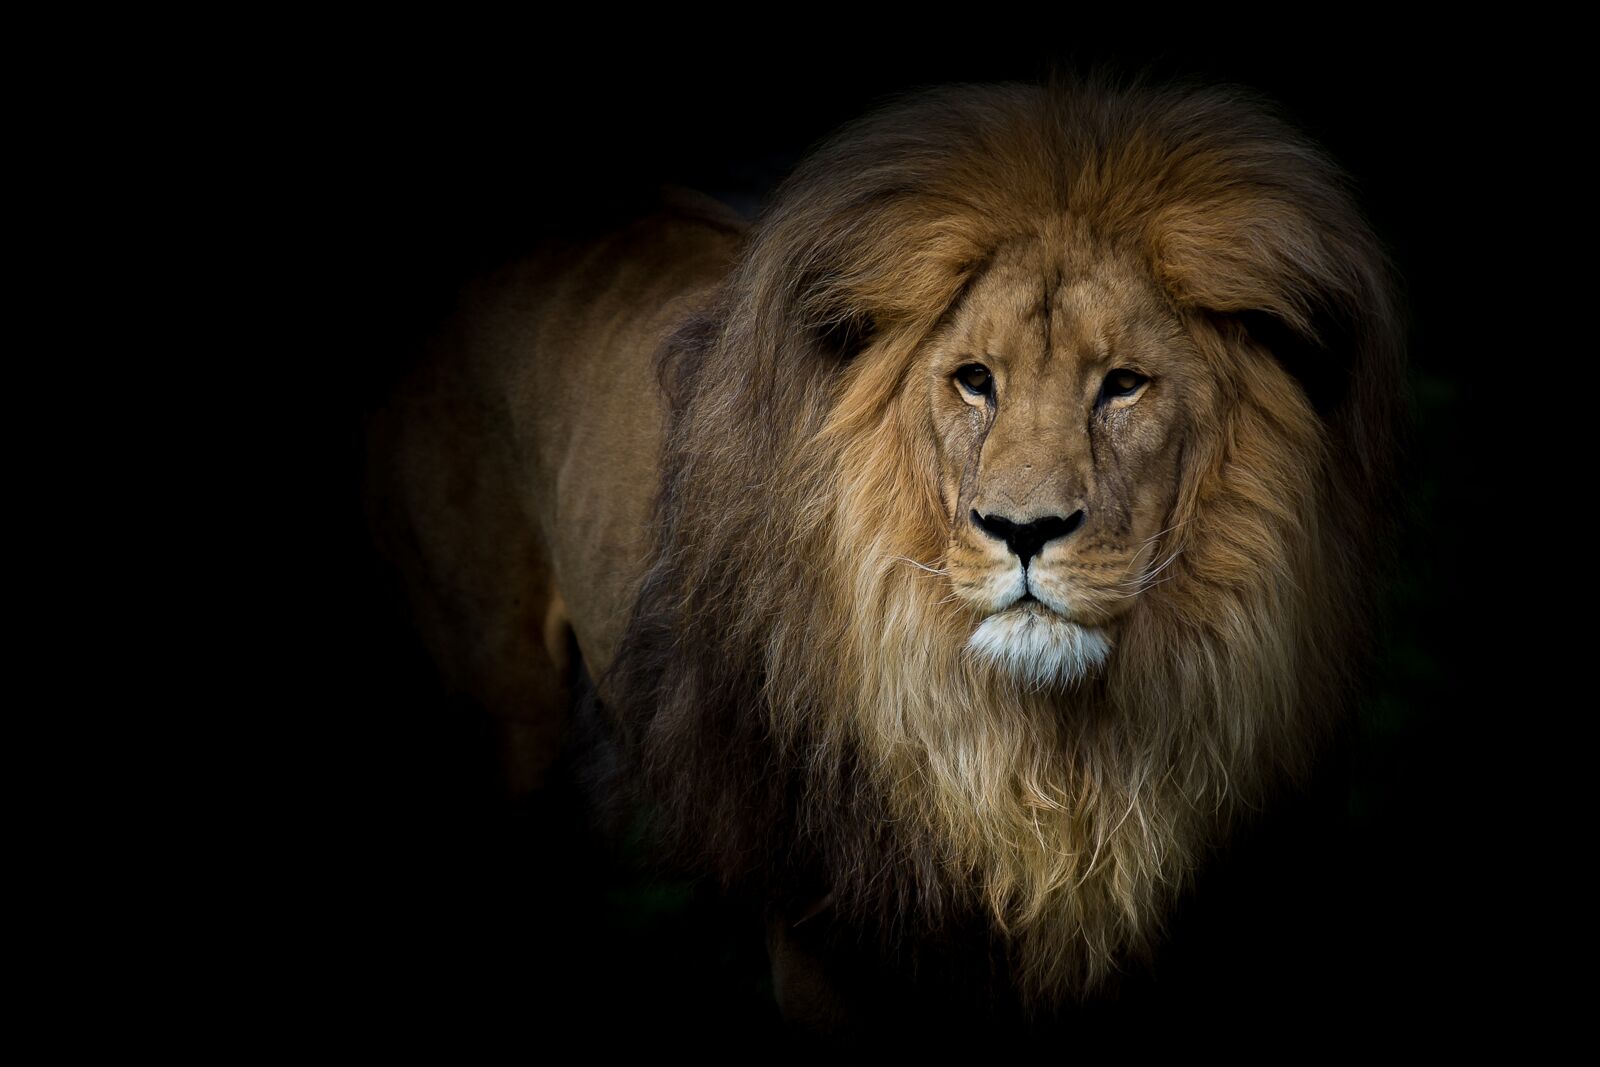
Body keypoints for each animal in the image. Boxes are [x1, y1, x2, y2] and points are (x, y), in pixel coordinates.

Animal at [366, 75, 1403, 1024]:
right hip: (502, 715)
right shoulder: (826, 936)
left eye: (1125, 384)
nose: (1024, 530)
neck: (1053, 775)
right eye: (974, 380)